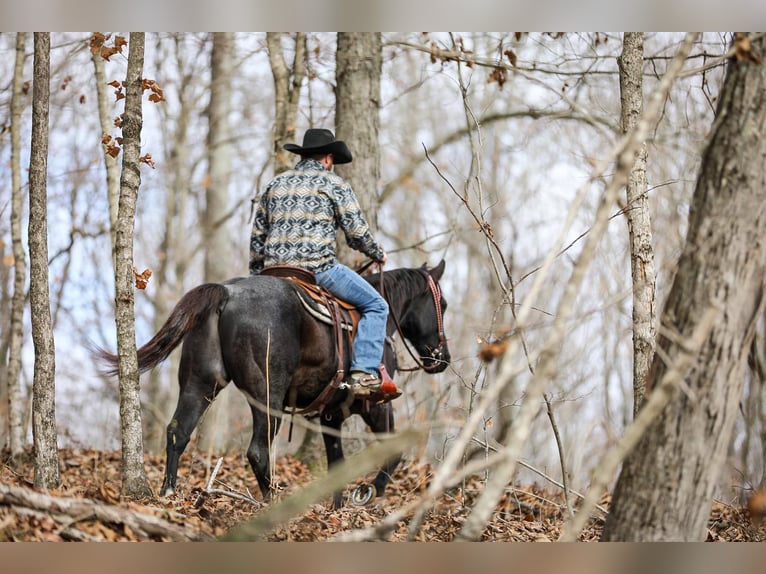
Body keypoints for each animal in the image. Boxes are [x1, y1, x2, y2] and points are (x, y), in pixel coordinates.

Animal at [100, 260, 452, 508]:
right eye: (443, 304)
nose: (443, 359)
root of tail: (227, 293)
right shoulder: (374, 407)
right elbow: (394, 453)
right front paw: (368, 492)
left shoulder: (331, 415)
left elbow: (336, 464)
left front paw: (337, 510)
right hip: (268, 395)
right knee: (258, 451)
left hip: (200, 383)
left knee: (178, 432)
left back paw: (169, 492)